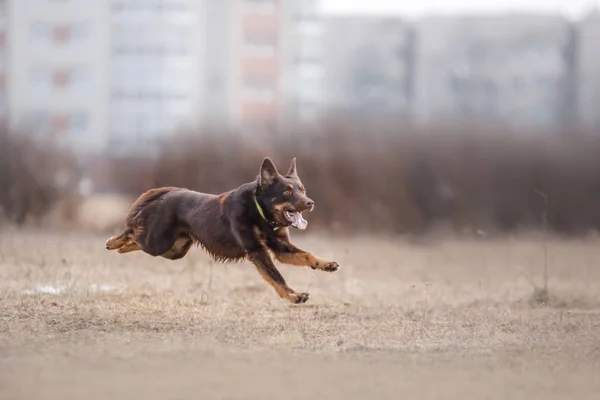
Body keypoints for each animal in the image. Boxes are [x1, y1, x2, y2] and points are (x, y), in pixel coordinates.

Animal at [106, 156, 340, 304]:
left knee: (136, 241)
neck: (260, 211)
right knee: (132, 232)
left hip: (175, 250)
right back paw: (113, 242)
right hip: (159, 243)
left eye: (303, 190)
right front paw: (293, 296)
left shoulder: (281, 248)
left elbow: (308, 255)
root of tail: (166, 194)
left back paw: (120, 248)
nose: (310, 203)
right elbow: (277, 277)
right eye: (287, 191)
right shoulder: (257, 250)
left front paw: (326, 264)